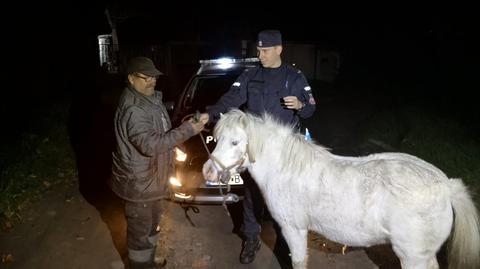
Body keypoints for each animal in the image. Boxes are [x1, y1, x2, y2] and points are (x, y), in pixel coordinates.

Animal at [202, 109, 480, 268]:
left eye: (235, 142)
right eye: (217, 138)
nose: (208, 171)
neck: (287, 168)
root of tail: (445, 185)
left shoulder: (294, 229)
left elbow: (299, 261)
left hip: (413, 257)